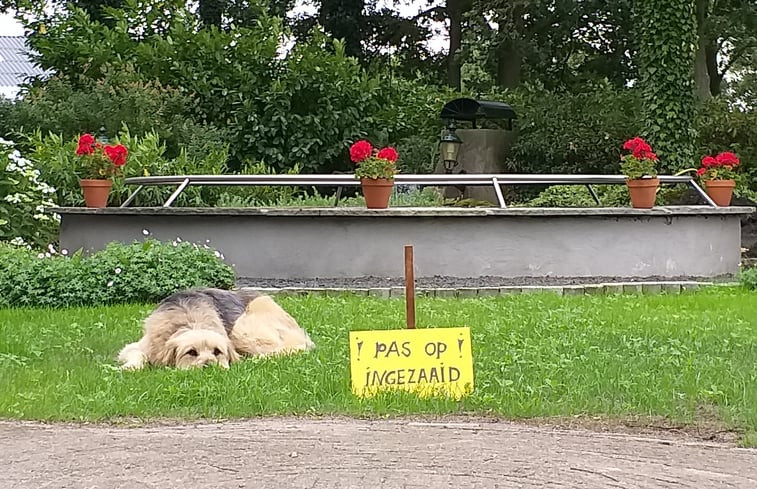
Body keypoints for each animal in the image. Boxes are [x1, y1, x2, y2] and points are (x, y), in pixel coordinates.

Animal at [118, 286, 314, 370]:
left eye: (217, 352)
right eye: (191, 352)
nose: (210, 366)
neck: (190, 320)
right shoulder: (139, 346)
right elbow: (138, 355)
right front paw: (130, 367)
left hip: (242, 329)